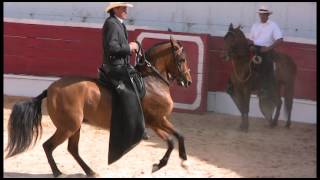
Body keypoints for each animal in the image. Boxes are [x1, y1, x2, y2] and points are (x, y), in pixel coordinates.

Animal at [5, 35, 192, 176]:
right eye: (182, 59)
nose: (188, 82)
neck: (152, 81)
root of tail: (50, 90)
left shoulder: (158, 122)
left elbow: (177, 137)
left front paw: (175, 161)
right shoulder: (157, 120)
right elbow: (173, 139)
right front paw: (167, 163)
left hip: (75, 127)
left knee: (72, 149)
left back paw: (90, 171)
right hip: (68, 127)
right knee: (49, 146)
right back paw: (58, 172)